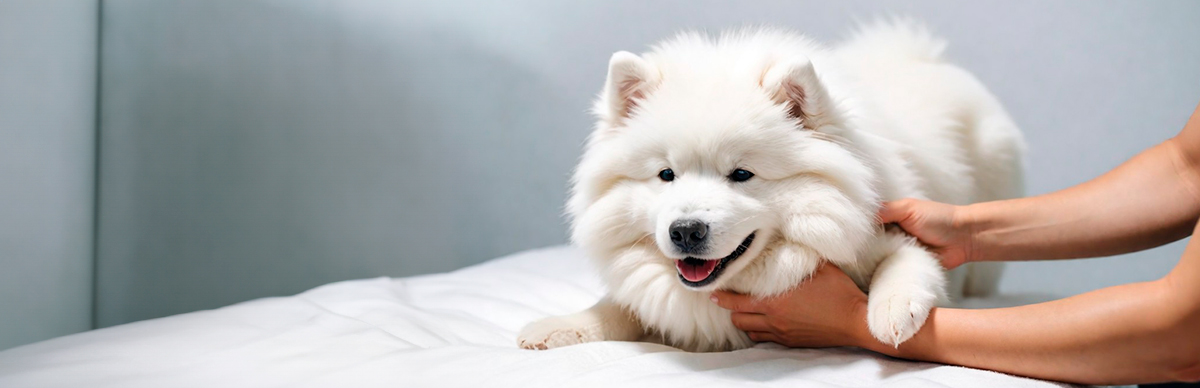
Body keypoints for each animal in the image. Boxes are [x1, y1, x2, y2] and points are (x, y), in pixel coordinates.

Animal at [516, 22, 1022, 353]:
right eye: (666, 175)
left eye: (741, 174)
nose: (685, 231)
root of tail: (920, 57)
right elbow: (620, 306)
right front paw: (559, 327)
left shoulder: (891, 230)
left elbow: (906, 263)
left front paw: (892, 314)